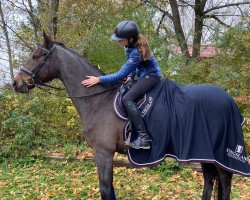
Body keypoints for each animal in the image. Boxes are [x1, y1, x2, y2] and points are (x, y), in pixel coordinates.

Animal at [12, 32, 245, 199]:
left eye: (35, 56)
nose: (16, 82)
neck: (99, 101)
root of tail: (228, 100)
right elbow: (110, 189)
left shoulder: (103, 153)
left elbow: (105, 189)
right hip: (204, 151)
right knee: (208, 180)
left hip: (219, 155)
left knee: (224, 182)